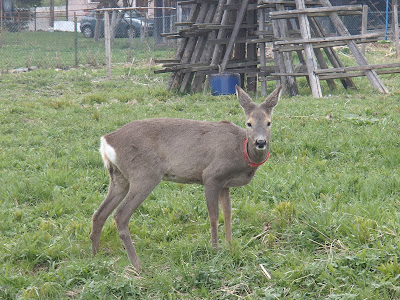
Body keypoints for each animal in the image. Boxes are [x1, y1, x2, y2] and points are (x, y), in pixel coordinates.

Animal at [91, 84, 282, 270]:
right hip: (144, 174)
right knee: (120, 215)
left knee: (99, 213)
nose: (260, 142)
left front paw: (230, 245)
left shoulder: (225, 184)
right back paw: (137, 265)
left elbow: (228, 213)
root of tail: (106, 141)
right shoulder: (212, 176)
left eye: (269, 122)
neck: (242, 152)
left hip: (119, 177)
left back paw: (96, 256)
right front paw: (215, 250)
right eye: (249, 123)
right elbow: (214, 215)